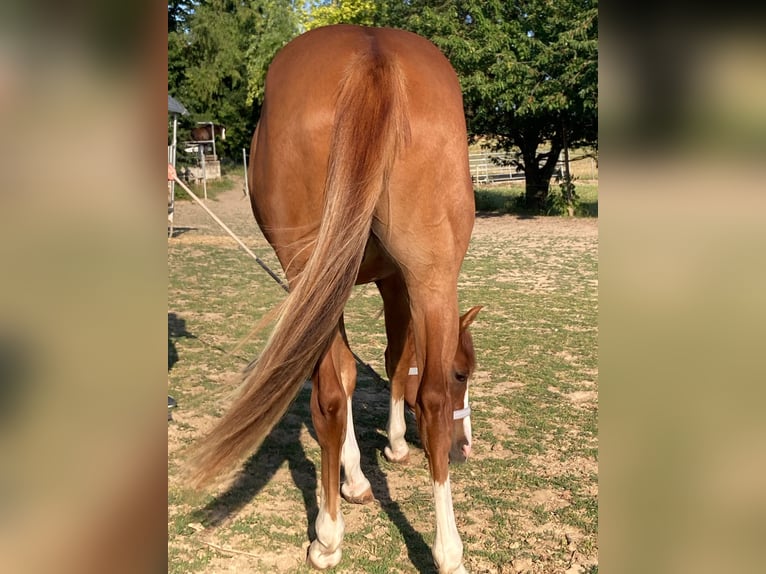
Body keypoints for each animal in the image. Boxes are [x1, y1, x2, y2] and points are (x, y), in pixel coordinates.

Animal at [190, 25, 481, 574]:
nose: (464, 451)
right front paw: (377, 460)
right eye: (463, 374)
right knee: (429, 399)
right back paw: (446, 551)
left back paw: (328, 536)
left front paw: (362, 471)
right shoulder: (391, 283)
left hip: (311, 267)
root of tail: (372, 51)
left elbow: (359, 374)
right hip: (431, 273)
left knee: (328, 393)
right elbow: (388, 365)